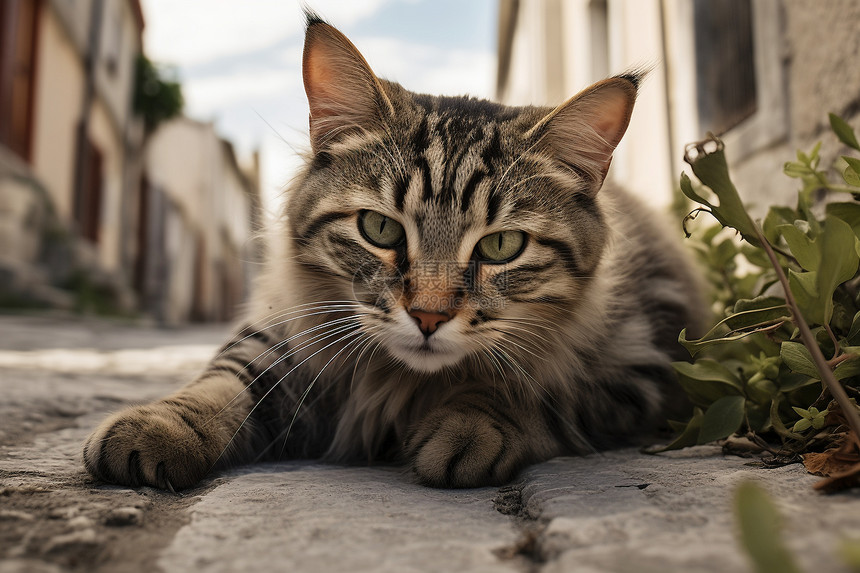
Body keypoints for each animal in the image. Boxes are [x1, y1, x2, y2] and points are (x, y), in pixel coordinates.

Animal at [80, 13, 704, 490]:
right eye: (380, 229)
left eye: (502, 245)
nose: (428, 316)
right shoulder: (289, 336)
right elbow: (227, 381)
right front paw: (158, 426)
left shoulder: (640, 364)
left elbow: (530, 392)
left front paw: (470, 425)